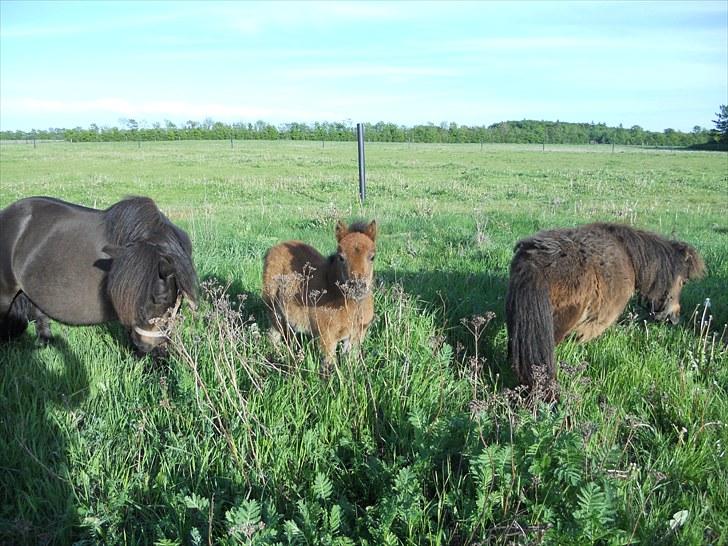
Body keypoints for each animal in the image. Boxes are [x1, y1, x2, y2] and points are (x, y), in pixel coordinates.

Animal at [262, 218, 376, 370]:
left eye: (372, 257)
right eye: (341, 257)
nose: (357, 286)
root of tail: (274, 248)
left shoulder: (357, 335)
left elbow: (351, 363)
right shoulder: (327, 338)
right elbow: (329, 367)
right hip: (273, 309)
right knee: (274, 334)